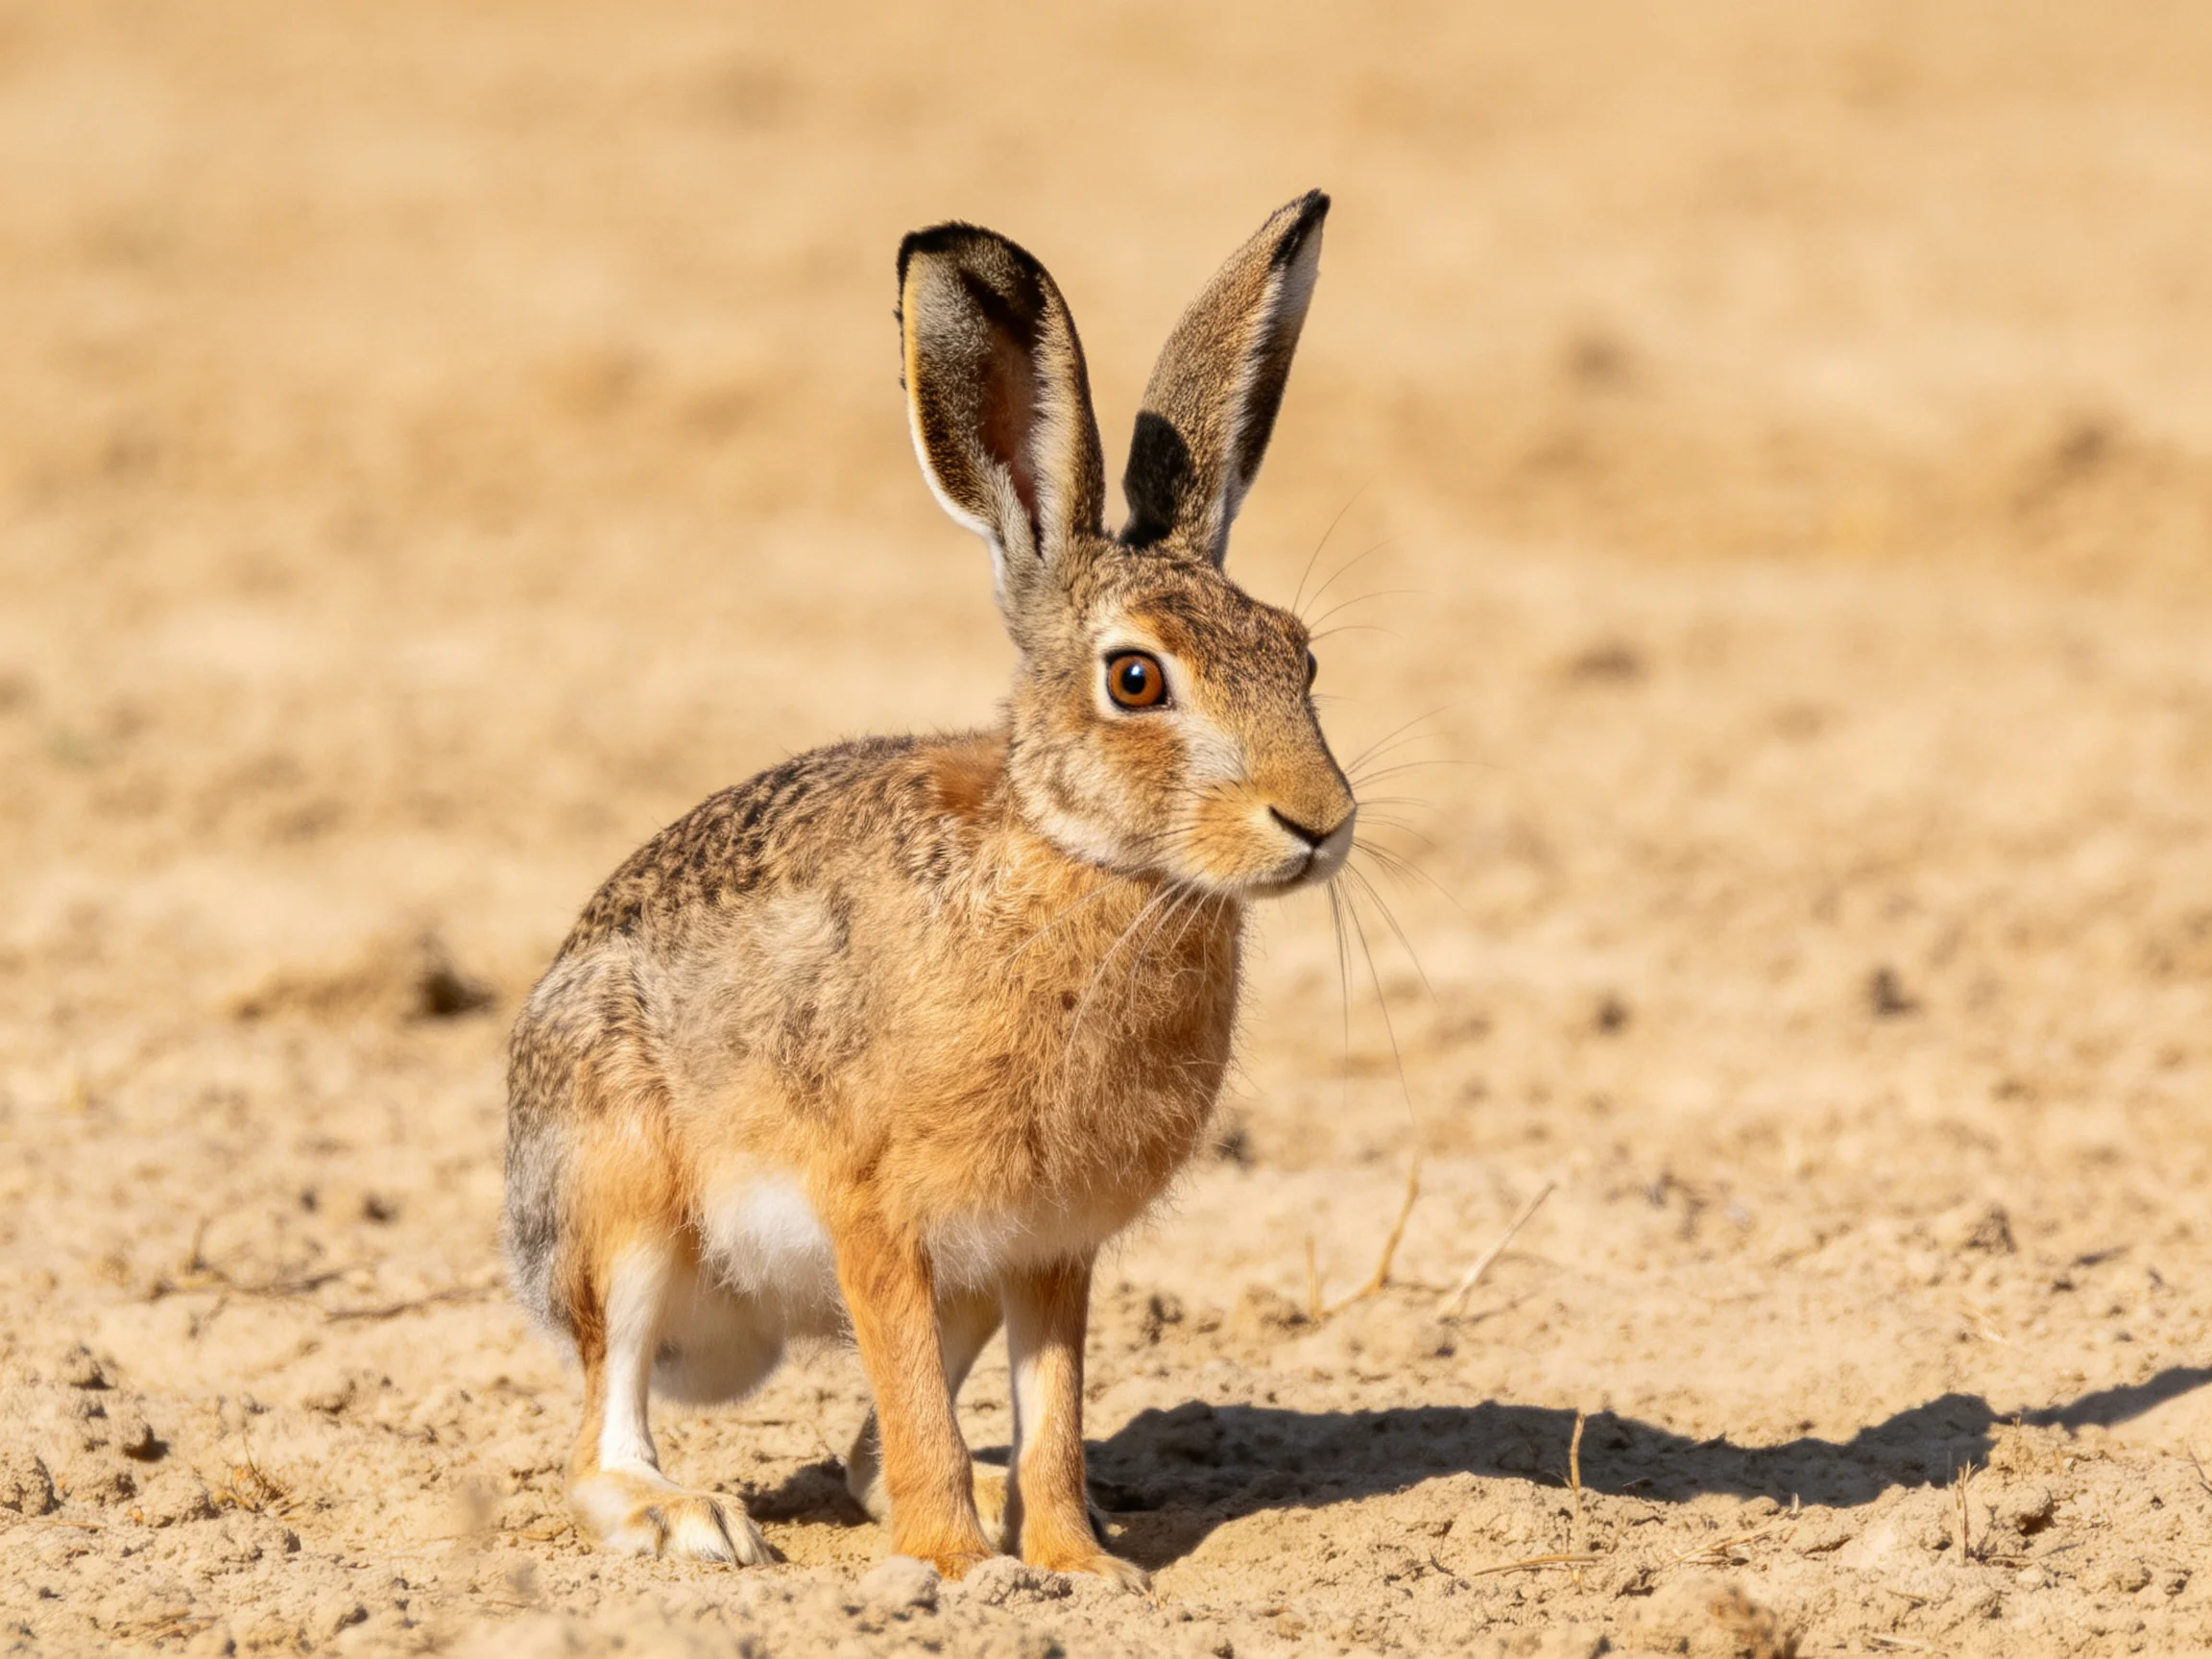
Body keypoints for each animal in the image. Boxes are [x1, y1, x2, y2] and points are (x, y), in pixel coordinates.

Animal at [503, 190, 1356, 1587]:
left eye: (1301, 657)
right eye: (1135, 680)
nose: (1321, 822)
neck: (1079, 860)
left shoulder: (1049, 1248)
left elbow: (1051, 1417)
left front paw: (1081, 1568)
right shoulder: (876, 1216)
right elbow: (917, 1417)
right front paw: (963, 1572)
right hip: (618, 1191)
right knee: (605, 1424)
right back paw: (690, 1519)